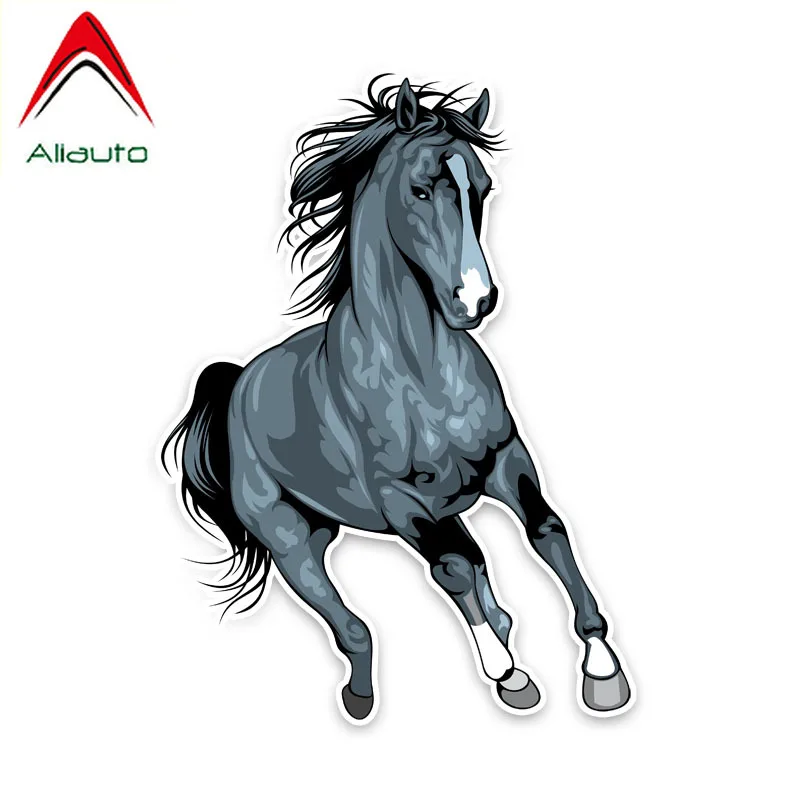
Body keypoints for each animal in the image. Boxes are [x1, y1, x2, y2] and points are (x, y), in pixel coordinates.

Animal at [162, 77, 633, 723]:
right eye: (420, 189)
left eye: (482, 187)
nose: (476, 299)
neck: (419, 374)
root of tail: (238, 384)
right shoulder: (399, 501)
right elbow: (453, 569)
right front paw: (506, 673)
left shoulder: (505, 461)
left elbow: (546, 530)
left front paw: (601, 669)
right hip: (291, 539)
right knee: (356, 625)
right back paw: (363, 696)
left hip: (405, 513)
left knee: (480, 571)